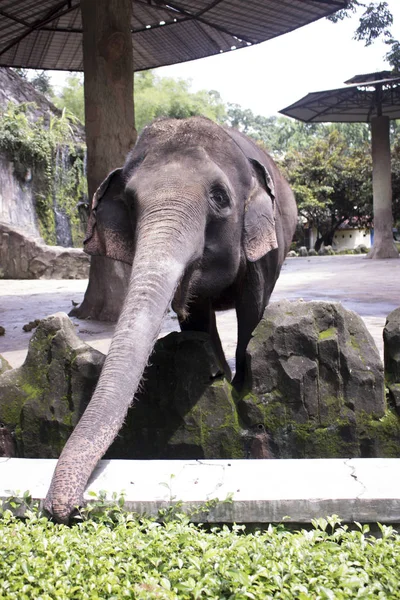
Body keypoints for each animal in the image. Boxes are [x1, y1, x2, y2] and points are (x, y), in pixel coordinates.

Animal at [44, 116, 296, 520]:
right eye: (130, 202)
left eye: (220, 198)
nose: (62, 509)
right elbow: (197, 319)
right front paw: (219, 379)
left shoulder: (264, 245)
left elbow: (252, 311)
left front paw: (240, 389)